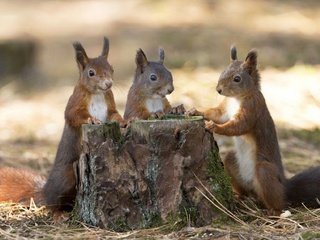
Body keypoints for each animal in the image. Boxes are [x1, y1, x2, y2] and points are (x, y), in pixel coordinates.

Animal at [0, 36, 126, 213]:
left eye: (111, 68)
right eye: (91, 73)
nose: (108, 84)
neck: (97, 94)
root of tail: (46, 189)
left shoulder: (110, 103)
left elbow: (114, 115)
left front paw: (123, 121)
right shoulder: (74, 103)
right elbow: (73, 116)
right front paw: (92, 120)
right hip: (67, 178)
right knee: (53, 203)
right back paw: (58, 214)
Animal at [188, 46, 320, 215]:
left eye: (237, 79)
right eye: (223, 71)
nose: (219, 90)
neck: (237, 98)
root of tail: (285, 186)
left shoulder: (253, 108)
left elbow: (239, 125)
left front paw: (214, 127)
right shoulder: (225, 110)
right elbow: (216, 114)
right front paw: (195, 111)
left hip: (265, 172)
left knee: (278, 200)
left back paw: (274, 212)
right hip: (233, 163)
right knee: (240, 179)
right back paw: (240, 197)